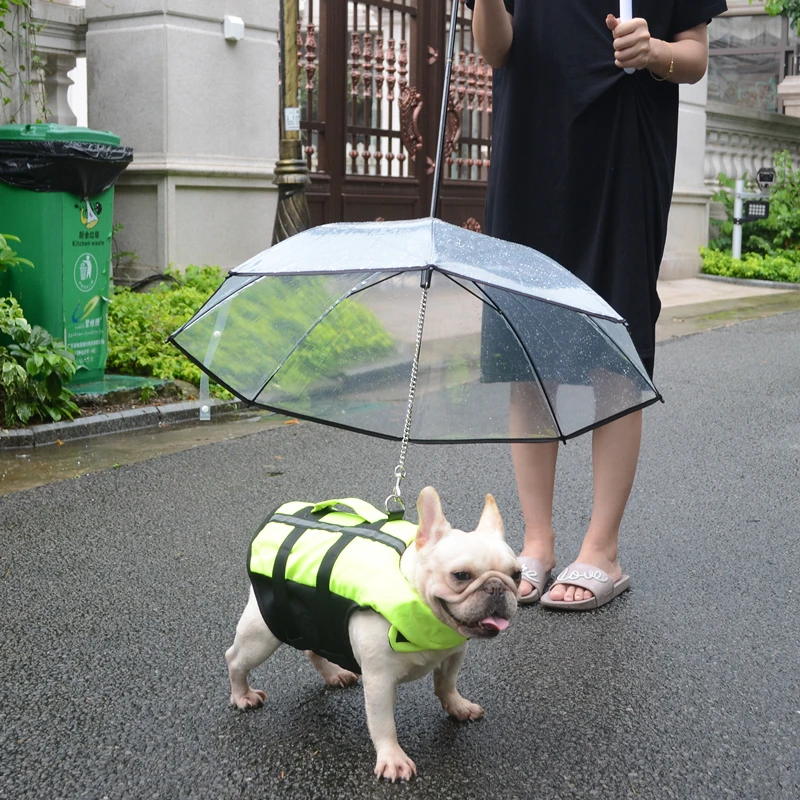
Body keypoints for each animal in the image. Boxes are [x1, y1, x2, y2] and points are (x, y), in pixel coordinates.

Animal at [227, 488, 524, 780]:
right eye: (461, 575)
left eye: (517, 575)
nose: (497, 587)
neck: (428, 613)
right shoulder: (380, 679)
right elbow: (383, 723)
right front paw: (392, 759)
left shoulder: (454, 654)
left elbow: (447, 684)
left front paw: (457, 706)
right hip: (262, 635)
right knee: (235, 659)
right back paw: (242, 695)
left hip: (313, 617)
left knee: (313, 646)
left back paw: (334, 674)